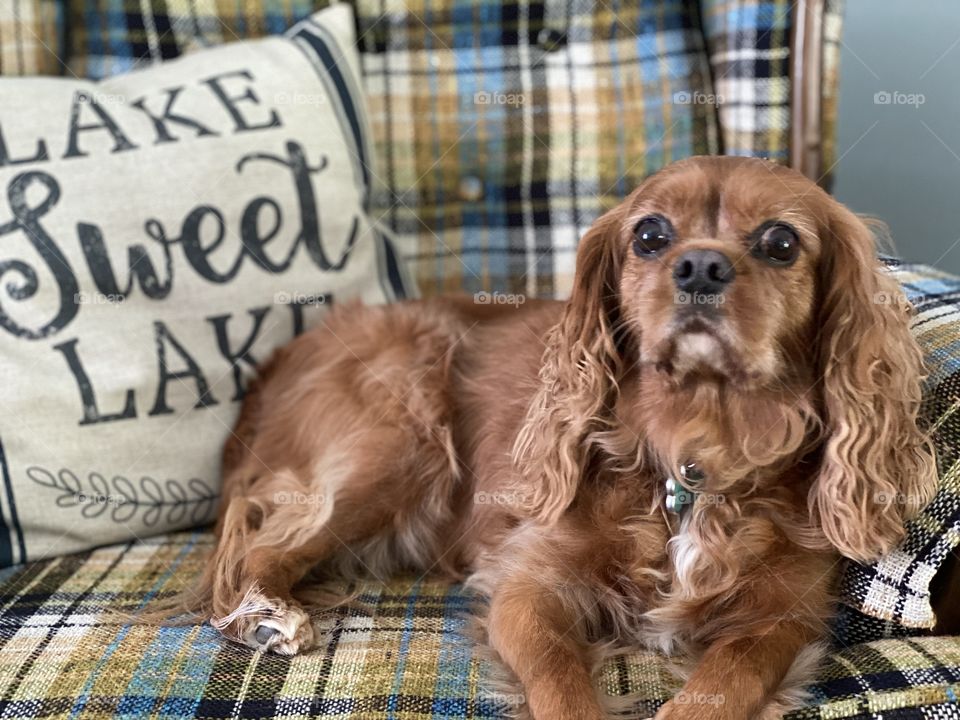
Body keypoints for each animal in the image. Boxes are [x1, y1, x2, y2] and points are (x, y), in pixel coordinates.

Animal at [189, 158, 936, 720]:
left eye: (781, 243)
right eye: (650, 235)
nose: (699, 266)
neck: (690, 456)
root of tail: (284, 356)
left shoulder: (783, 617)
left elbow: (733, 676)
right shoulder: (528, 584)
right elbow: (556, 671)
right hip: (398, 441)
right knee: (259, 548)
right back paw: (267, 614)